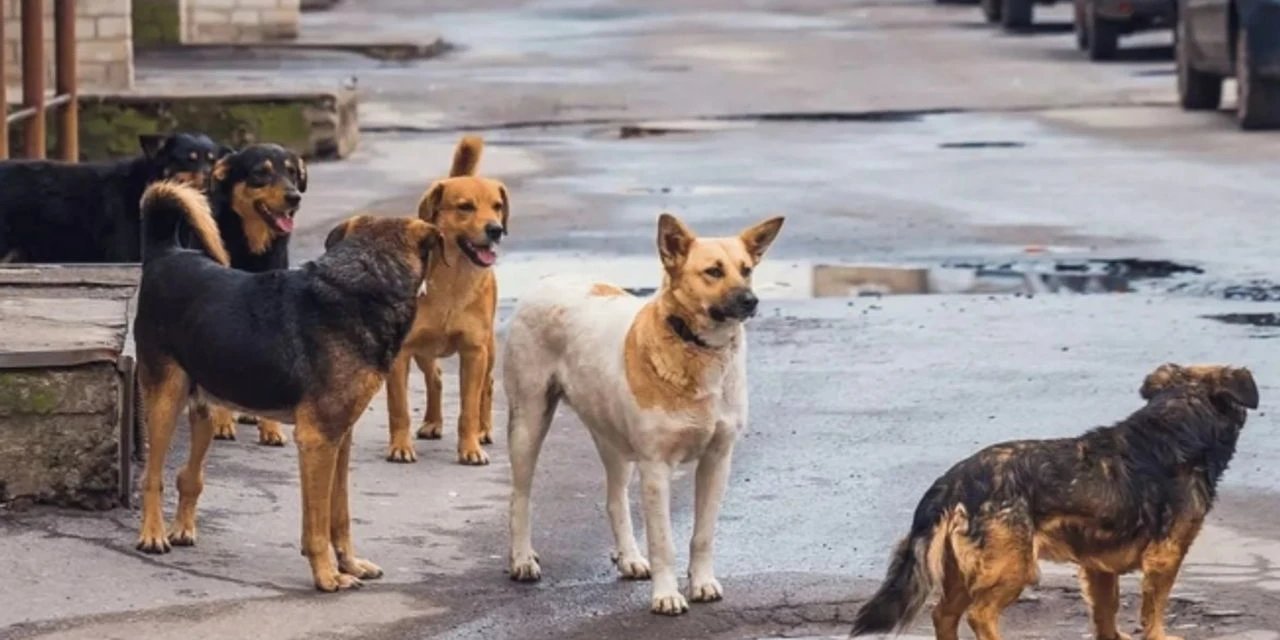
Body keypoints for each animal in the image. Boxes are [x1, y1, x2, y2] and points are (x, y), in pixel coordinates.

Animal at [198, 143, 311, 448]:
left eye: (292, 172)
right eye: (261, 172)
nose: (294, 197)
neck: (252, 248)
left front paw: (270, 428)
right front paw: (222, 422)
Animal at [381, 135, 506, 465]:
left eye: (497, 206)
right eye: (465, 207)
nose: (496, 229)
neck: (453, 280)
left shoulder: (474, 352)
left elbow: (468, 409)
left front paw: (470, 447)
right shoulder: (401, 353)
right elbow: (398, 408)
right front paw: (400, 446)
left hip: (489, 348)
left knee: (487, 386)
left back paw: (484, 430)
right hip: (424, 350)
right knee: (435, 377)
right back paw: (433, 422)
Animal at [504, 211, 783, 614]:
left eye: (746, 270)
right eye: (713, 271)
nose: (751, 301)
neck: (695, 348)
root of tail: (550, 279)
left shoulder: (717, 460)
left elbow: (702, 535)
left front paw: (701, 582)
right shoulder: (656, 468)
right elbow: (663, 541)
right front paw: (666, 595)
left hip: (613, 441)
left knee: (614, 499)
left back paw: (630, 557)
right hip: (528, 422)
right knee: (520, 497)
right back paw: (522, 558)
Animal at [849, 363, 1259, 640]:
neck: (1177, 424)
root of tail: (953, 481)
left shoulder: (1098, 566)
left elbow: (1106, 611)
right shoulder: (1166, 555)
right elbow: (1154, 609)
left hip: (963, 571)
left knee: (943, 615)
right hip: (1014, 566)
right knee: (979, 614)